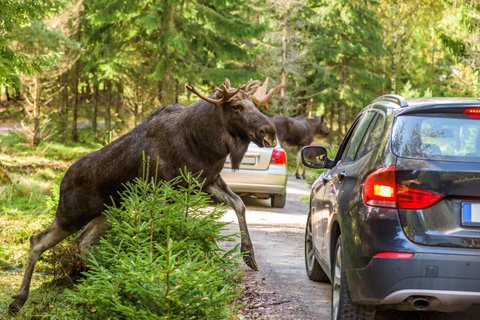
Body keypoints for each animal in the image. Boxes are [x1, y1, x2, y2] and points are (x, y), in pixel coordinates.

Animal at [9, 78, 284, 316]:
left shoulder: (206, 181)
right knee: (38, 241)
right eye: (237, 107)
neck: (204, 144)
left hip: (107, 213)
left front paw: (249, 256)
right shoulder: (165, 189)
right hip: (72, 214)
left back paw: (107, 276)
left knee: (83, 241)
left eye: (255, 105)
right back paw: (19, 301)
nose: (269, 132)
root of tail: (62, 182)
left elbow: (239, 204)